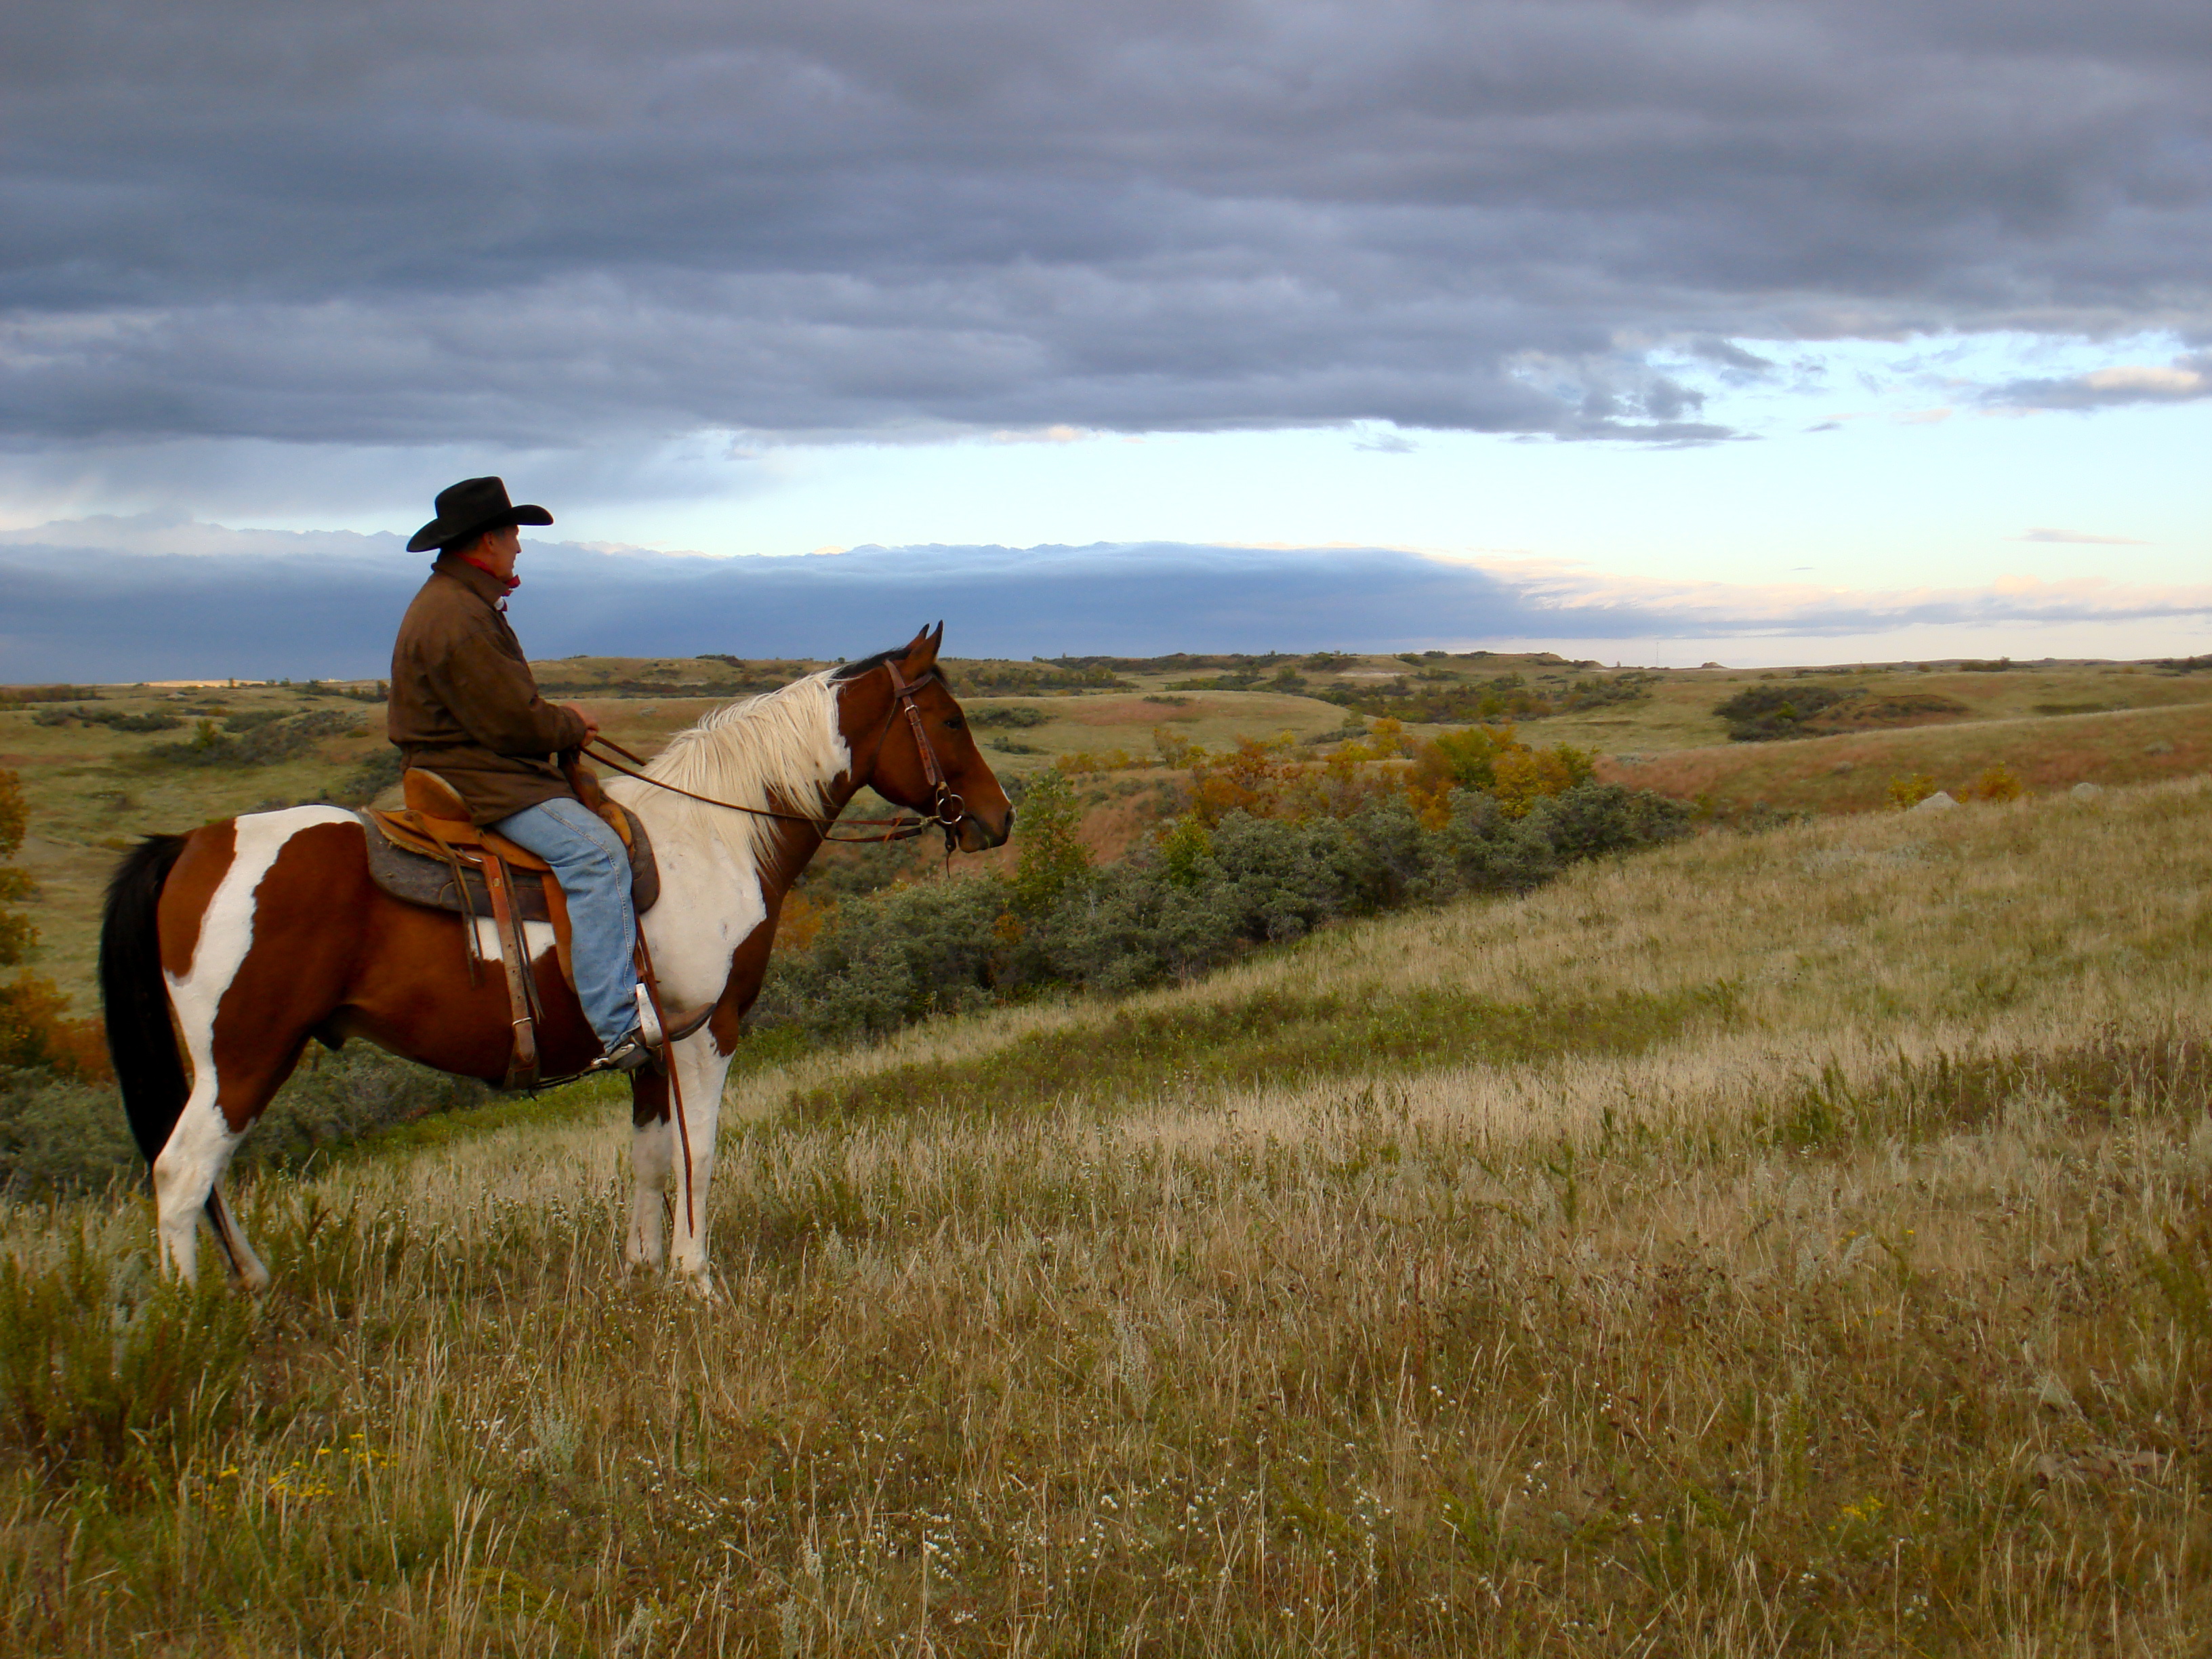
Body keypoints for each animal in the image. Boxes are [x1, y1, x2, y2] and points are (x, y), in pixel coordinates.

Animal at [97, 625, 1012, 1293]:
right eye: (951, 720)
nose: (999, 818)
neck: (715, 836)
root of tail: (190, 846)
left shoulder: (649, 1047)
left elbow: (650, 1156)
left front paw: (643, 1269)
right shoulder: (706, 1032)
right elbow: (702, 1150)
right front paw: (697, 1278)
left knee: (205, 1180)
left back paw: (253, 1286)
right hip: (247, 1054)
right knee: (183, 1173)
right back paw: (196, 1324)